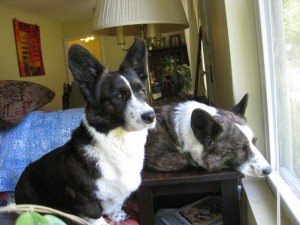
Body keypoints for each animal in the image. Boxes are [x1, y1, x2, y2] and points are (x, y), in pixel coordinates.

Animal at [15, 37, 156, 224]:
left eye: (141, 91)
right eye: (118, 96)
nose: (151, 116)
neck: (119, 142)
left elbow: (117, 204)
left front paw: (117, 215)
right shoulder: (86, 202)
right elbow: (97, 218)